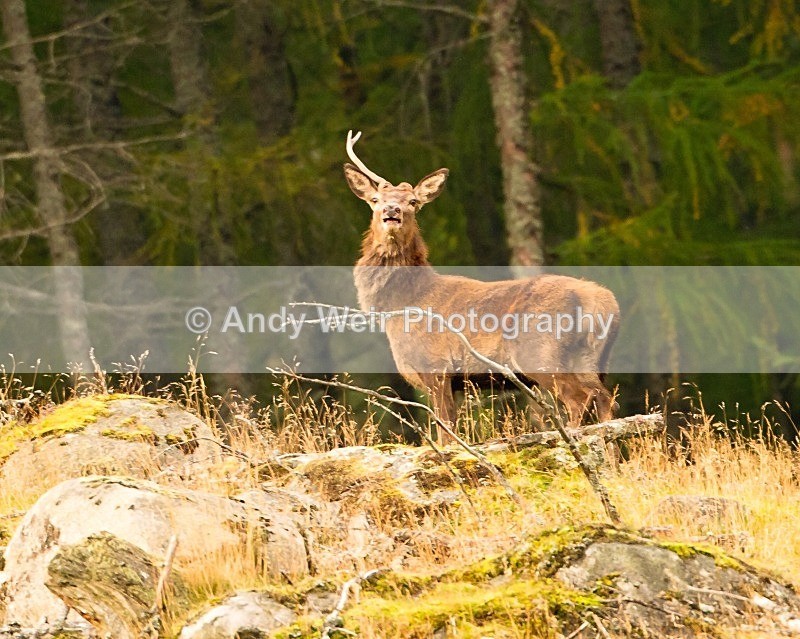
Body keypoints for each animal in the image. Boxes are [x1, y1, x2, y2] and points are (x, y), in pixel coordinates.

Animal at [344, 130, 620, 444]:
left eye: (413, 201)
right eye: (375, 199)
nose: (392, 210)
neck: (401, 305)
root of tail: (602, 302)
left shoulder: (436, 366)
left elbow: (446, 431)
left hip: (542, 352)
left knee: (579, 399)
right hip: (593, 359)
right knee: (605, 401)